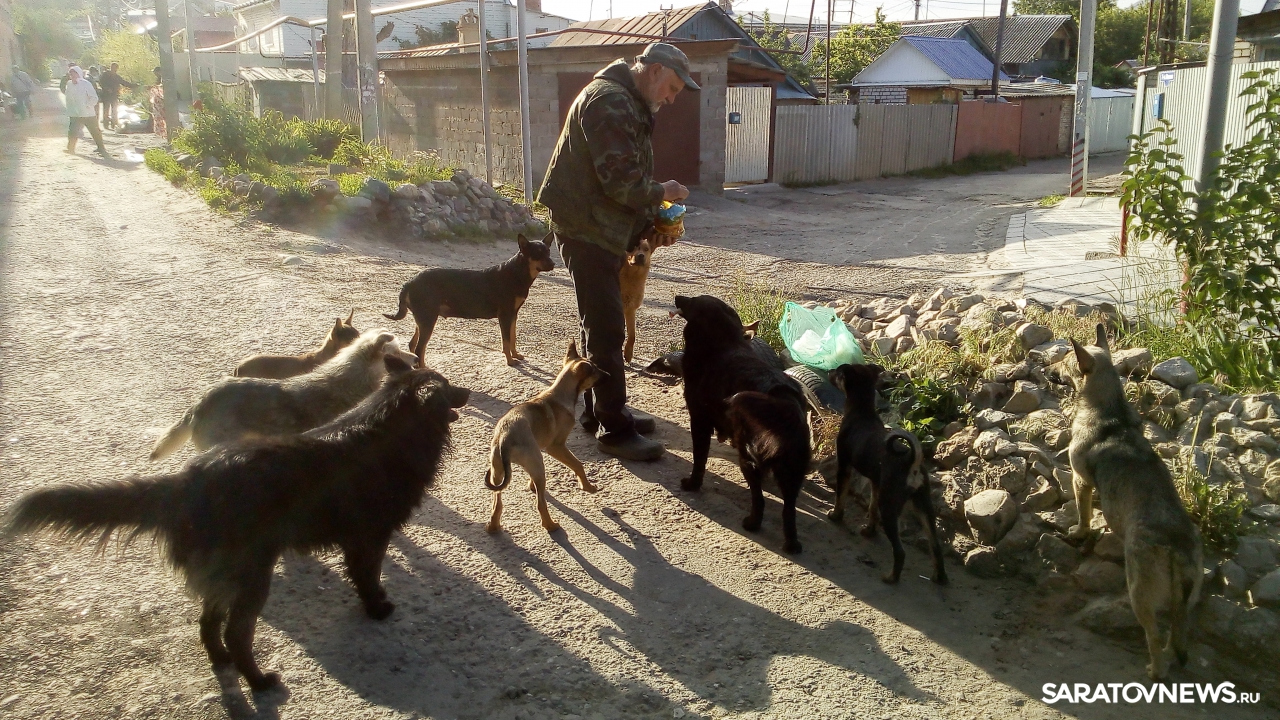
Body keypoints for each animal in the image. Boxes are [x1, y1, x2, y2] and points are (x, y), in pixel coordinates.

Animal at [2, 356, 473, 691]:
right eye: (449, 386)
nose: (469, 390)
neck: (387, 426)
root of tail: (185, 483)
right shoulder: (370, 536)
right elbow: (368, 578)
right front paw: (377, 609)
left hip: (223, 575)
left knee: (209, 625)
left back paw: (223, 664)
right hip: (252, 576)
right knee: (235, 633)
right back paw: (259, 682)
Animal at [483, 340, 604, 532]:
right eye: (596, 372)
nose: (608, 375)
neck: (560, 393)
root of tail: (505, 437)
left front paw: (531, 485)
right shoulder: (556, 447)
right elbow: (578, 464)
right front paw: (587, 486)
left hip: (498, 471)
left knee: (497, 502)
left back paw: (493, 526)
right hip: (538, 466)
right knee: (540, 504)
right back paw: (550, 525)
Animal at [670, 294, 808, 550]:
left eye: (693, 300)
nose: (678, 296)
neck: (722, 341)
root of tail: (783, 399)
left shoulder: (699, 421)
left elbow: (699, 459)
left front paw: (692, 484)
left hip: (749, 459)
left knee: (760, 500)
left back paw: (752, 524)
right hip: (793, 470)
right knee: (788, 510)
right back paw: (792, 545)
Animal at [829, 361, 952, 586]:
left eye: (839, 372)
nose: (830, 371)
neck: (862, 411)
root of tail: (912, 462)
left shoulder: (844, 466)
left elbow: (840, 496)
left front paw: (835, 516)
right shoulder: (876, 483)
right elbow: (871, 508)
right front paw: (869, 530)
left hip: (890, 507)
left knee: (900, 551)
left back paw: (891, 577)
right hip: (923, 505)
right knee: (935, 545)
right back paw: (939, 577)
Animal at [1064, 325, 1203, 676]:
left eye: (1066, 359)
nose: (1051, 364)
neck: (1109, 409)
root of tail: (1177, 551)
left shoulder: (1080, 481)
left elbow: (1084, 514)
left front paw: (1079, 532)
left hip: (1138, 591)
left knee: (1153, 634)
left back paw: (1155, 669)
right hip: (1185, 602)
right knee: (1176, 633)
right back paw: (1169, 657)